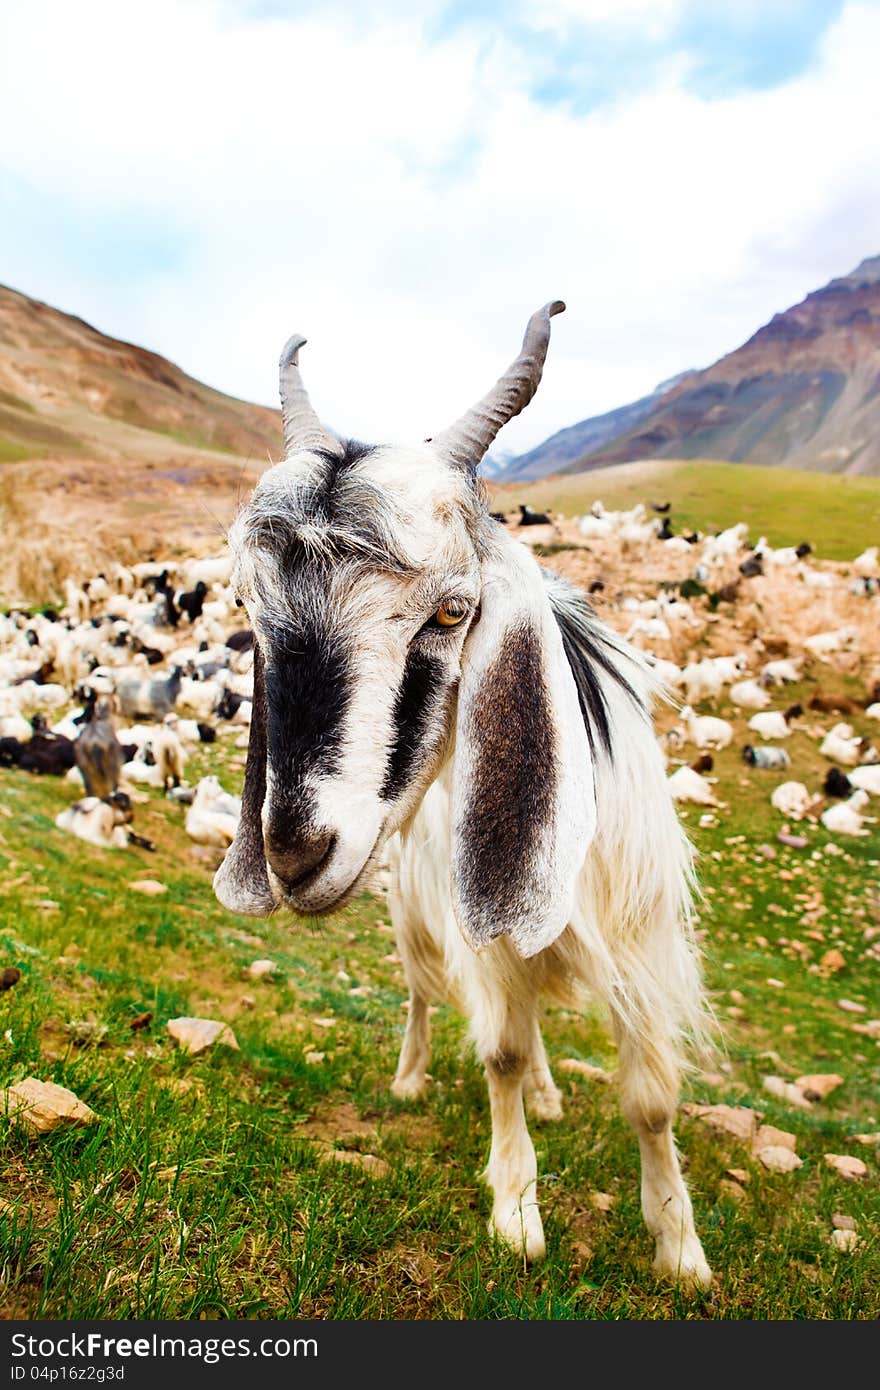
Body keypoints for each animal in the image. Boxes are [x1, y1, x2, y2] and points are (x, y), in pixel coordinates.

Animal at [212, 307, 711, 1289]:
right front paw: (516, 1209)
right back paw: (412, 1078)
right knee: (418, 993)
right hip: (417, 904)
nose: (293, 854)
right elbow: (502, 1052)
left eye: (451, 611)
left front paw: (679, 1244)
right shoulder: (483, 933)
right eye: (250, 607)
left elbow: (650, 1096)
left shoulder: (639, 937)